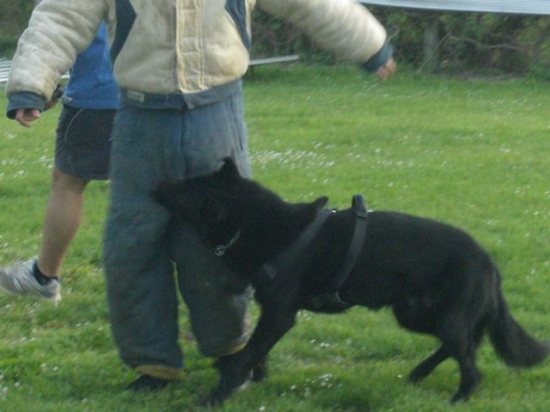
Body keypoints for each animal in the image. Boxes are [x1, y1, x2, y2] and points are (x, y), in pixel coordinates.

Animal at [152, 159, 550, 406]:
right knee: (463, 344)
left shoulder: (280, 315)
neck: (260, 225)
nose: (157, 184)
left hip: (438, 315)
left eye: (188, 189)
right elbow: (254, 352)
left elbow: (247, 354)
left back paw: (457, 399)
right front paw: (252, 377)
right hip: (415, 314)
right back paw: (419, 373)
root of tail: (489, 262)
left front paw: (215, 396)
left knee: (470, 363)